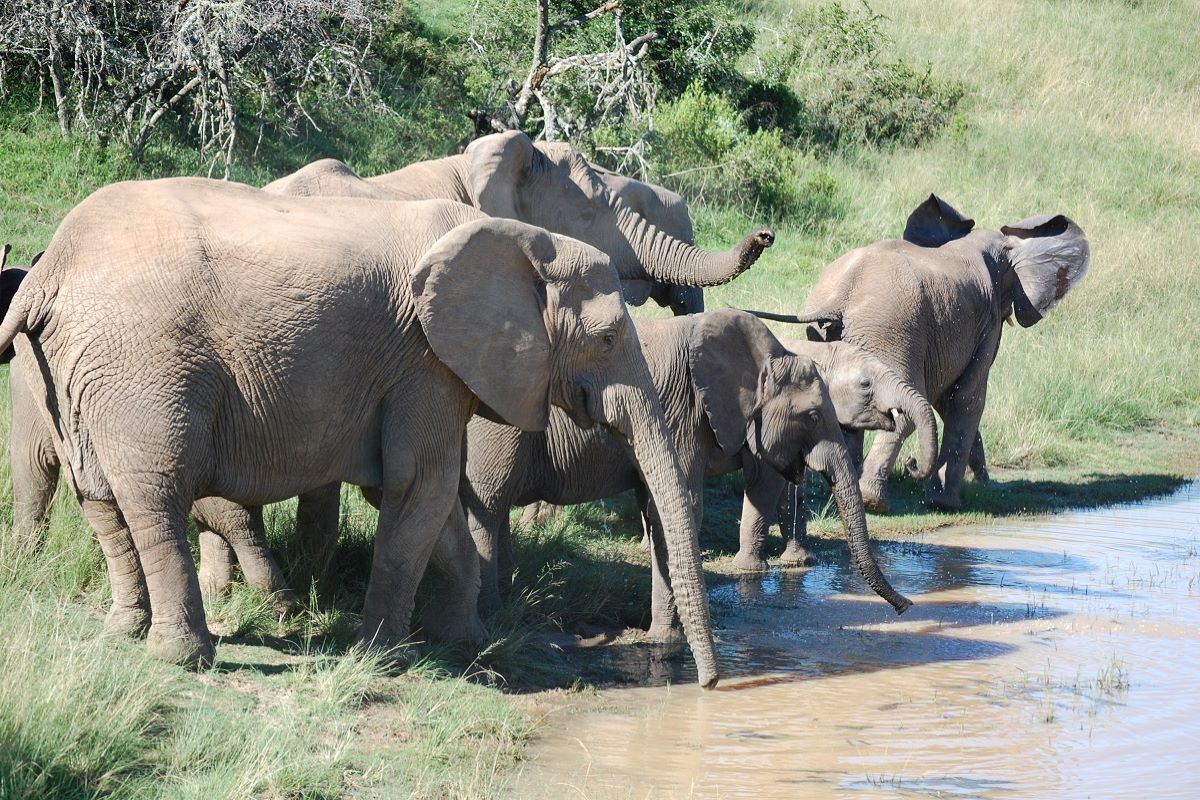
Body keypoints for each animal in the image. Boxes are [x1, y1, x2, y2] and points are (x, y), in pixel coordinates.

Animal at [0, 181, 720, 690]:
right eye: (608, 338)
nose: (710, 685)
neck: (525, 241)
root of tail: (50, 267)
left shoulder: (426, 368)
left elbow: (425, 500)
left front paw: (463, 639)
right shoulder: (424, 360)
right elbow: (421, 487)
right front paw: (389, 655)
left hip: (76, 368)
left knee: (98, 495)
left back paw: (125, 631)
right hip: (143, 367)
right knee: (155, 494)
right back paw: (185, 657)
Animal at [460, 307, 907, 638]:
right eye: (812, 417)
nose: (905, 607)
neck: (767, 353)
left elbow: (661, 509)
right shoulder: (679, 415)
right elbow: (686, 507)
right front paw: (667, 640)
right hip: (496, 429)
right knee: (489, 505)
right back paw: (491, 614)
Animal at [758, 196, 1089, 515]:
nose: (912, 463)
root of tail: (840, 297)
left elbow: (951, 398)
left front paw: (982, 486)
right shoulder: (987, 322)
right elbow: (967, 397)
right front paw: (945, 504)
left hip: (838, 334)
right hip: (891, 331)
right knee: (900, 414)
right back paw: (874, 502)